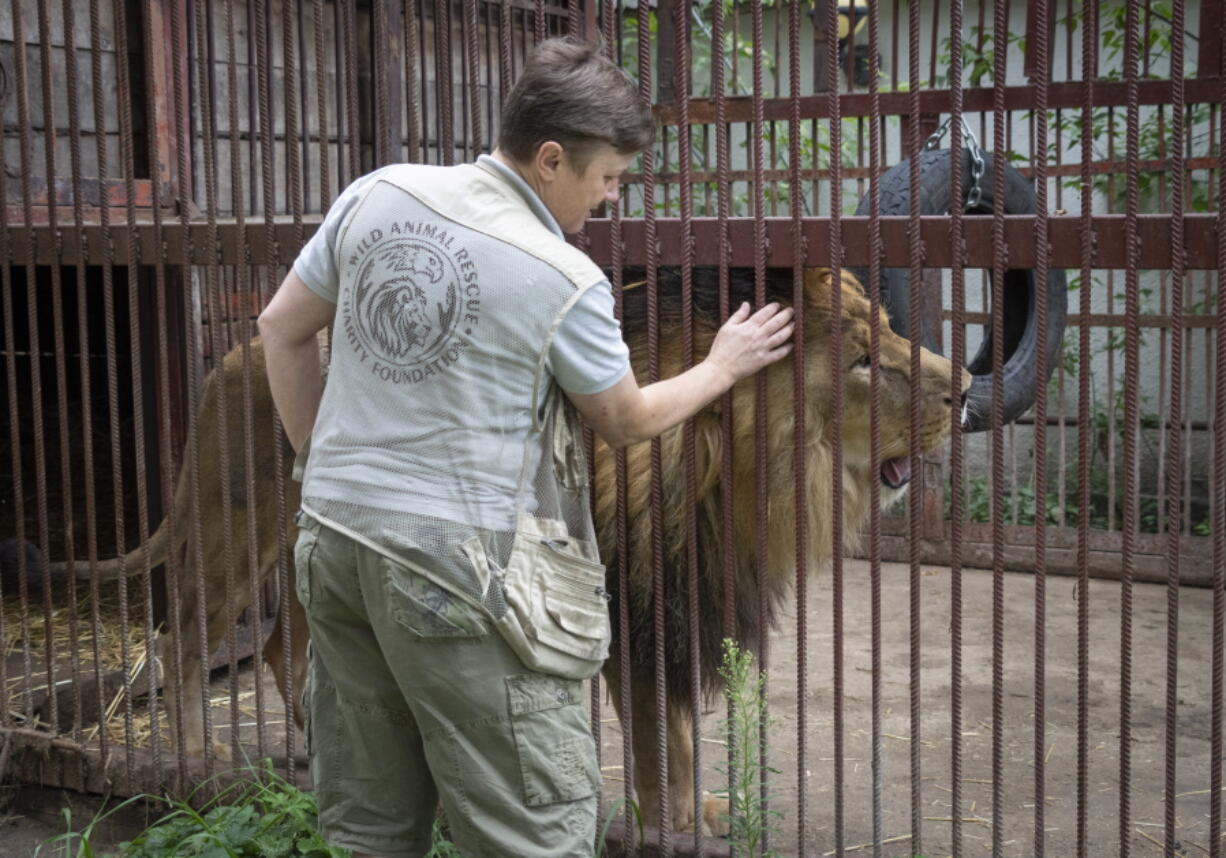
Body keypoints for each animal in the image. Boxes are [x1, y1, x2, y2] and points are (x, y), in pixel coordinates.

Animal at [45, 264, 966, 833]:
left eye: (893, 330)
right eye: (864, 362)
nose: (965, 388)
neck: (730, 472)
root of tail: (229, 355)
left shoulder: (685, 599)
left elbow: (680, 734)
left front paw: (698, 816)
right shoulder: (635, 603)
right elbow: (655, 739)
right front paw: (667, 826)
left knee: (284, 645)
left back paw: (312, 749)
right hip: (234, 535)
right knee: (182, 641)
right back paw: (194, 756)